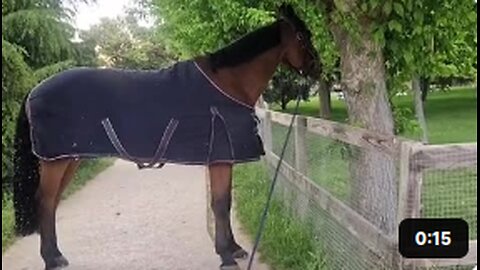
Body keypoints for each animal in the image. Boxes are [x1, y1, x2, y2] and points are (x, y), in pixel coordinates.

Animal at [12, 4, 318, 270]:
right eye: (302, 37)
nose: (318, 68)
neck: (229, 84)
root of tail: (34, 90)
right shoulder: (220, 158)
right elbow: (219, 204)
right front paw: (225, 255)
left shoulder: (223, 159)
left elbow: (225, 201)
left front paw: (234, 248)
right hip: (55, 160)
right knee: (45, 201)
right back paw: (51, 259)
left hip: (68, 158)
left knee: (52, 202)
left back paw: (56, 255)